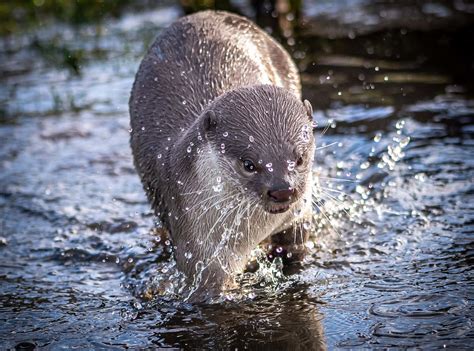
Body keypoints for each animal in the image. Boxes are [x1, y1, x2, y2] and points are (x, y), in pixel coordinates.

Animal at [130, 11, 314, 302]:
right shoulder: (200, 250)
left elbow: (296, 244)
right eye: (249, 164)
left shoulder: (299, 213)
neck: (254, 231)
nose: (282, 190)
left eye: (299, 159)